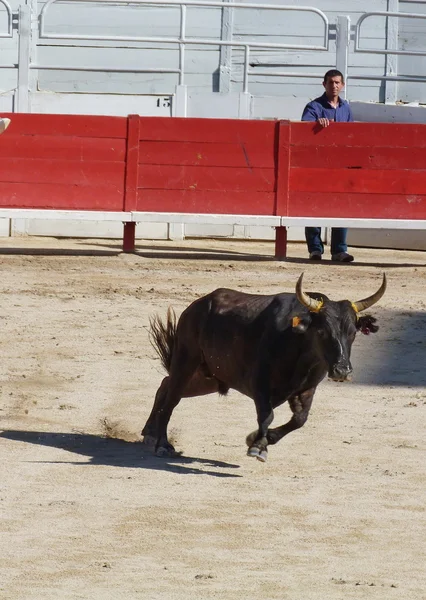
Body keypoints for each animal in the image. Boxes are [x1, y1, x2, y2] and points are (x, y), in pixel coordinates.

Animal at [143, 274, 386, 462]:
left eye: (352, 332)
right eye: (322, 331)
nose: (342, 371)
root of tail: (196, 307)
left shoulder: (307, 389)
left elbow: (299, 420)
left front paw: (259, 438)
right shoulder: (260, 383)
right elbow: (267, 415)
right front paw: (258, 447)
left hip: (209, 377)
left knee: (165, 386)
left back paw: (149, 433)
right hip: (186, 361)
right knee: (172, 398)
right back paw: (162, 444)